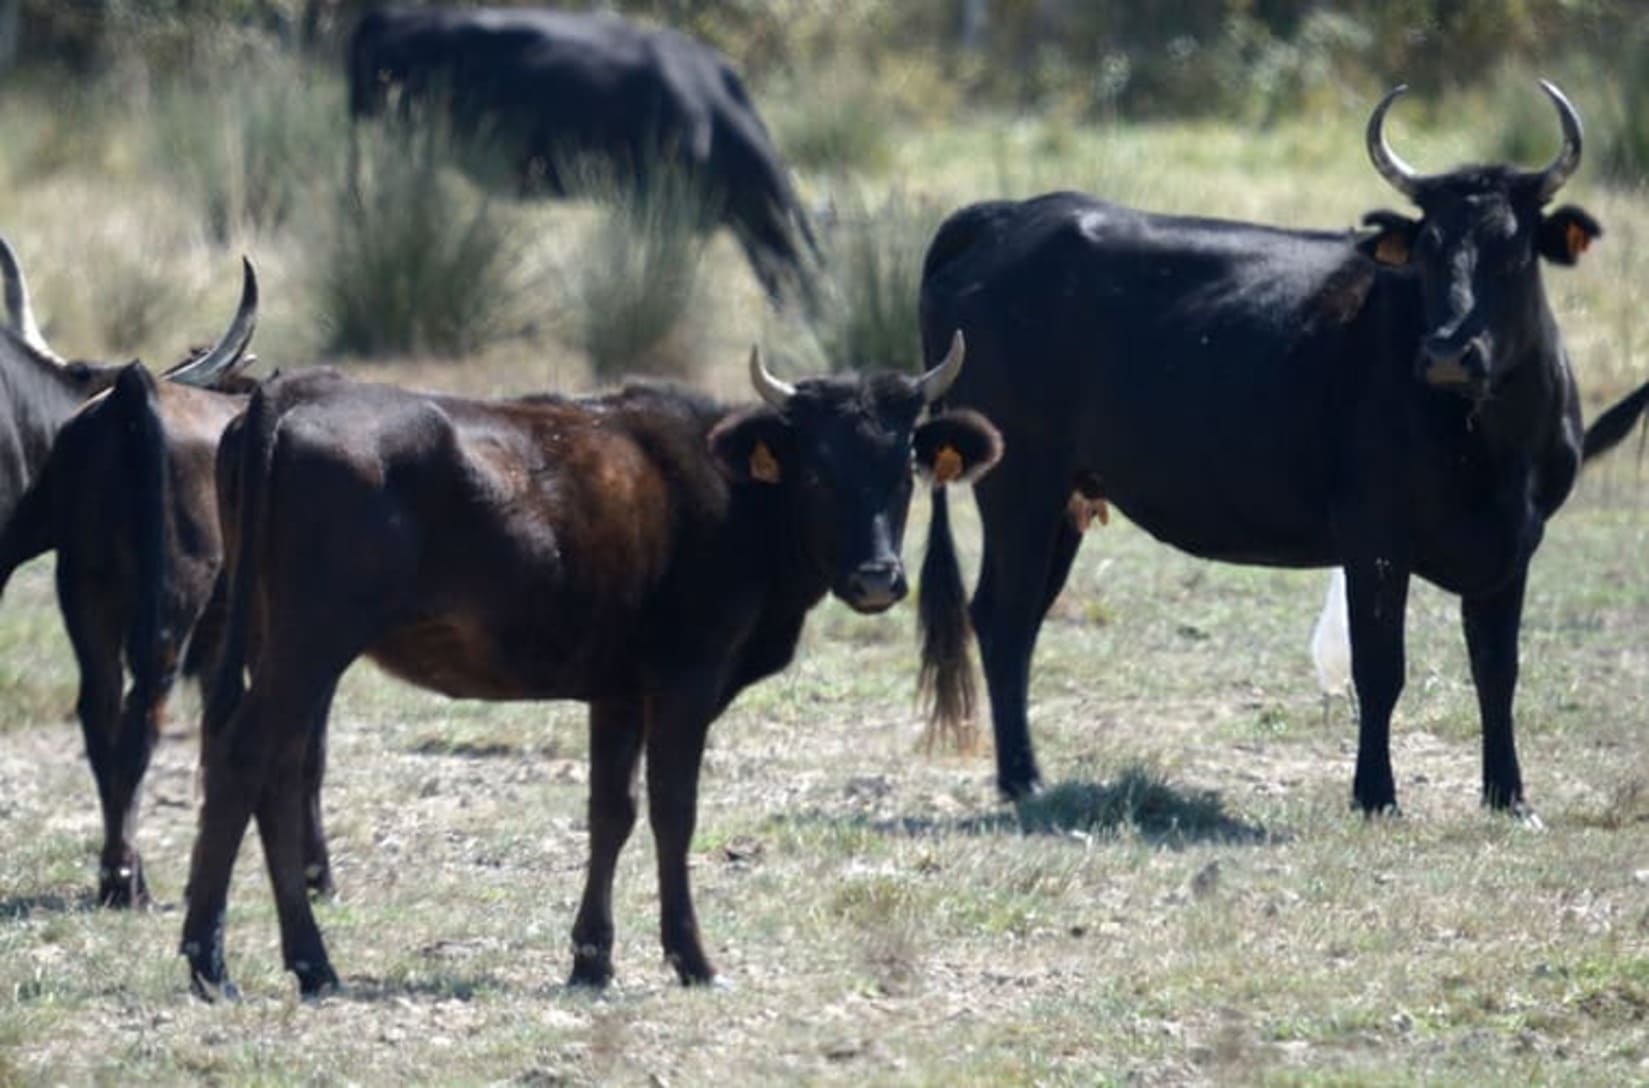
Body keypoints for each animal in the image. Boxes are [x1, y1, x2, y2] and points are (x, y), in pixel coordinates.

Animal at [185, 336, 995, 995]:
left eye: (904, 469)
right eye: (819, 472)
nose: (877, 577)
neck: (734, 494)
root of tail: (294, 393)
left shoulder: (617, 694)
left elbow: (611, 811)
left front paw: (592, 958)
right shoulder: (684, 682)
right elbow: (672, 811)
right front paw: (692, 958)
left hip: (282, 645)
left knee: (279, 772)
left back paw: (309, 964)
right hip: (311, 644)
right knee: (247, 756)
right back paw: (213, 962)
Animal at [923, 82, 1642, 817]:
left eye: (1513, 251)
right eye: (1429, 249)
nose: (1446, 352)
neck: (1488, 444)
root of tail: (1009, 215)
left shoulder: (1514, 542)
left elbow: (1497, 669)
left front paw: (1509, 796)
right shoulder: (1373, 535)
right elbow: (1379, 668)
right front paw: (1375, 794)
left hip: (1063, 496)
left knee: (1018, 616)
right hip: (1018, 485)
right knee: (1004, 617)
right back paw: (1021, 777)